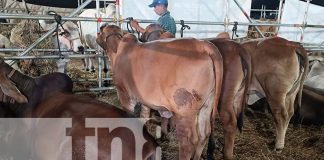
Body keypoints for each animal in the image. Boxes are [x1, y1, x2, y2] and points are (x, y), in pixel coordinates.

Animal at [96, 24, 223, 159]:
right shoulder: (144, 99)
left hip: (184, 110)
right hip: (207, 105)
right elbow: (144, 117)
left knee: (189, 141)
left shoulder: (124, 94)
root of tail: (204, 45)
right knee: (205, 133)